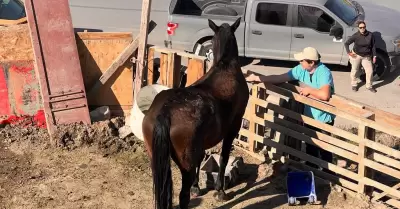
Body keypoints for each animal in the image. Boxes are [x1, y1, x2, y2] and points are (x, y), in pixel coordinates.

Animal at [142, 18, 248, 209]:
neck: (225, 66)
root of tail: (165, 111)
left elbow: (201, 158)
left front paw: (196, 186)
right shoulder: (233, 128)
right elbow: (224, 157)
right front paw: (220, 190)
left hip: (154, 157)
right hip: (185, 165)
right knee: (183, 196)